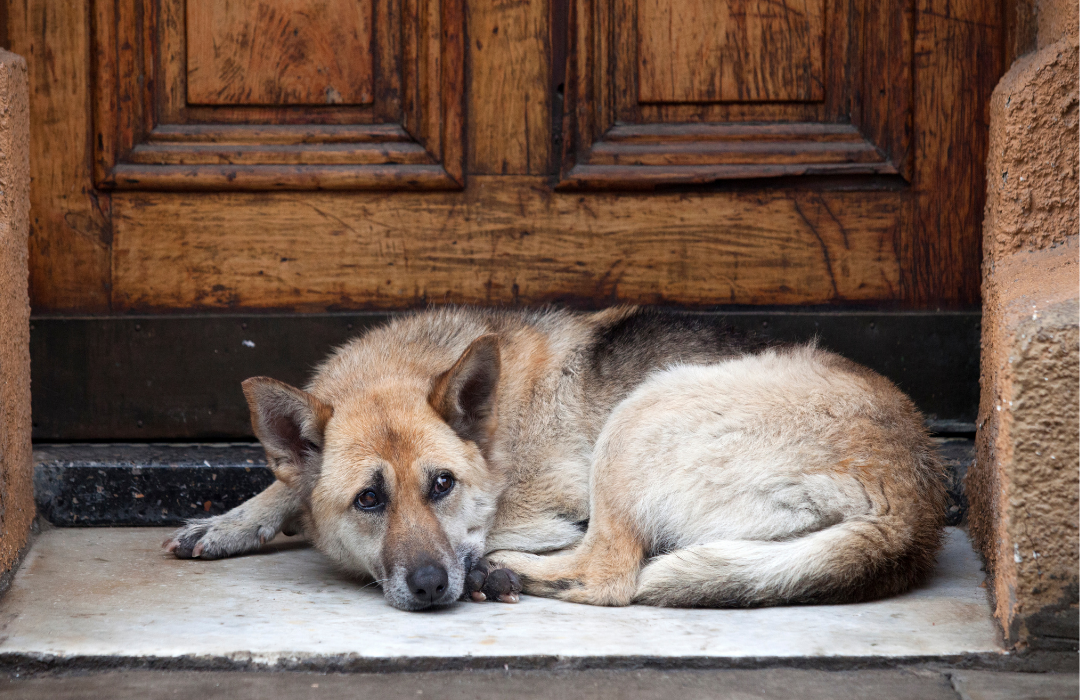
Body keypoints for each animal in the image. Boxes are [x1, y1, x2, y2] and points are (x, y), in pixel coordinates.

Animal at [162, 308, 946, 609]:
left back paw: (504, 573)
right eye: (368, 500)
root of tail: (914, 503)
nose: (430, 587)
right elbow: (287, 484)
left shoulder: (532, 508)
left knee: (612, 574)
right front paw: (232, 520)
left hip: (641, 416)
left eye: (441, 484)